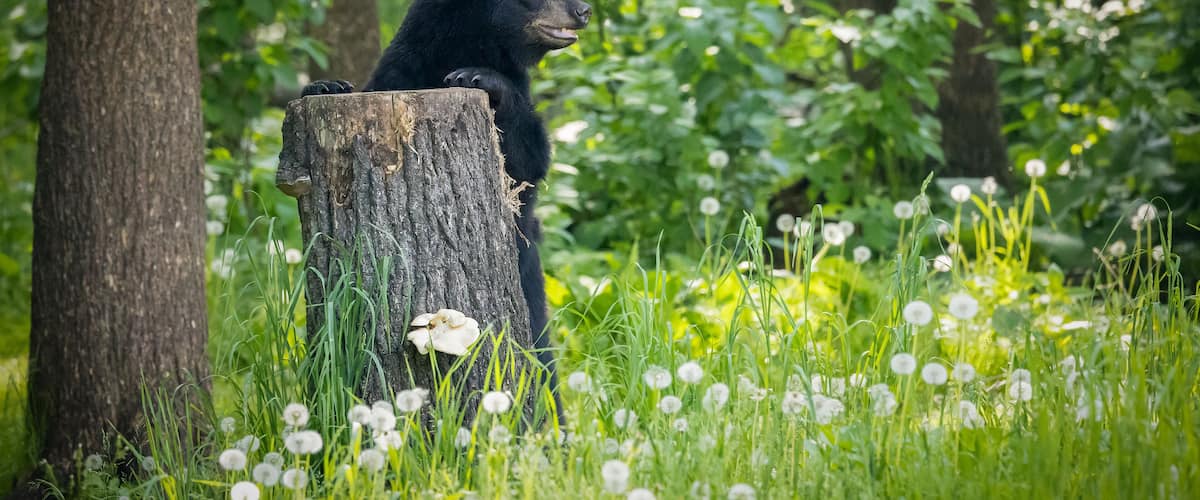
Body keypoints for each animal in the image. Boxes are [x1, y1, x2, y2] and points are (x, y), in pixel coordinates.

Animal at [303, 0, 592, 425]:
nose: (584, 10)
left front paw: (478, 76)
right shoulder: (401, 70)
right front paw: (325, 85)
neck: (465, 42)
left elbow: (529, 160)